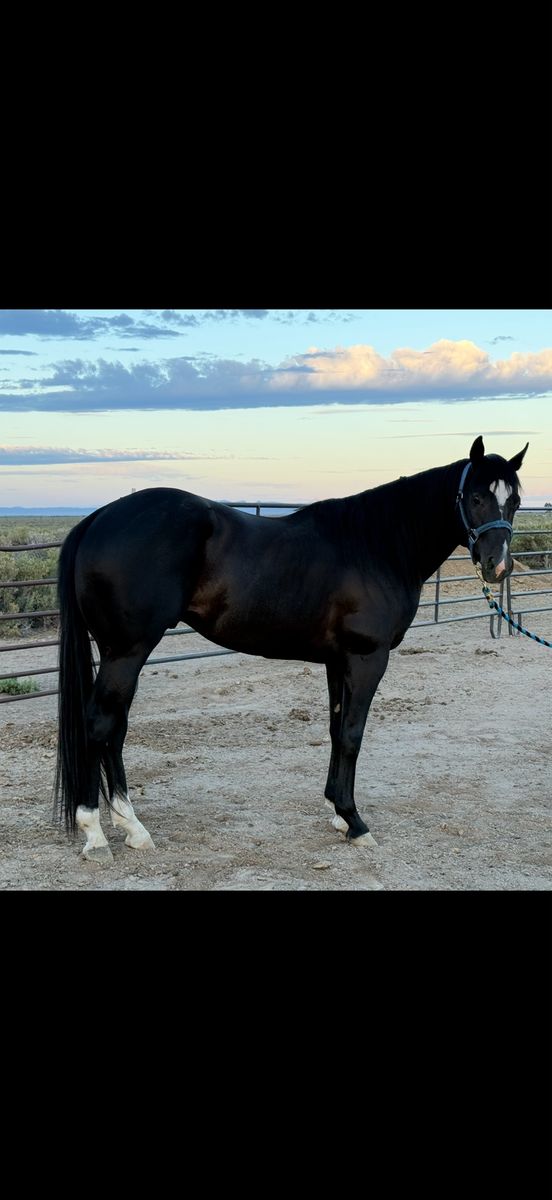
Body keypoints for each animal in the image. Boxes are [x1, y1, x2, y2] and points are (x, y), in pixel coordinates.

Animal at [54, 435, 528, 863]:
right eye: (476, 496)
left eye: (515, 501)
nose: (497, 565)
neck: (377, 544)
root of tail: (98, 518)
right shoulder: (367, 659)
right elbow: (353, 735)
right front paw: (355, 823)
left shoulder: (338, 661)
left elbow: (336, 730)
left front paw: (336, 812)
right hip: (127, 650)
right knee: (100, 725)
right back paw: (97, 833)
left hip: (121, 653)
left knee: (115, 730)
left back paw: (131, 827)